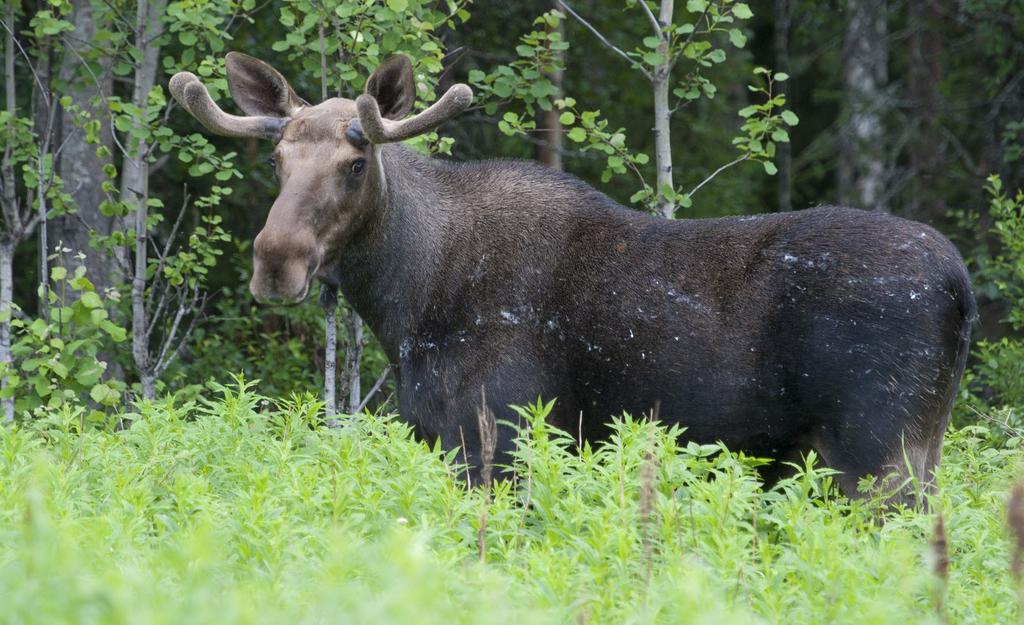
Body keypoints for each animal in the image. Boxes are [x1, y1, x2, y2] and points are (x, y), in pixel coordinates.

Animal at [169, 52, 974, 502]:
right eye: (278, 159)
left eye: (356, 160)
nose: (276, 259)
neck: (406, 305)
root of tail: (961, 286)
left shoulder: (498, 435)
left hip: (880, 452)